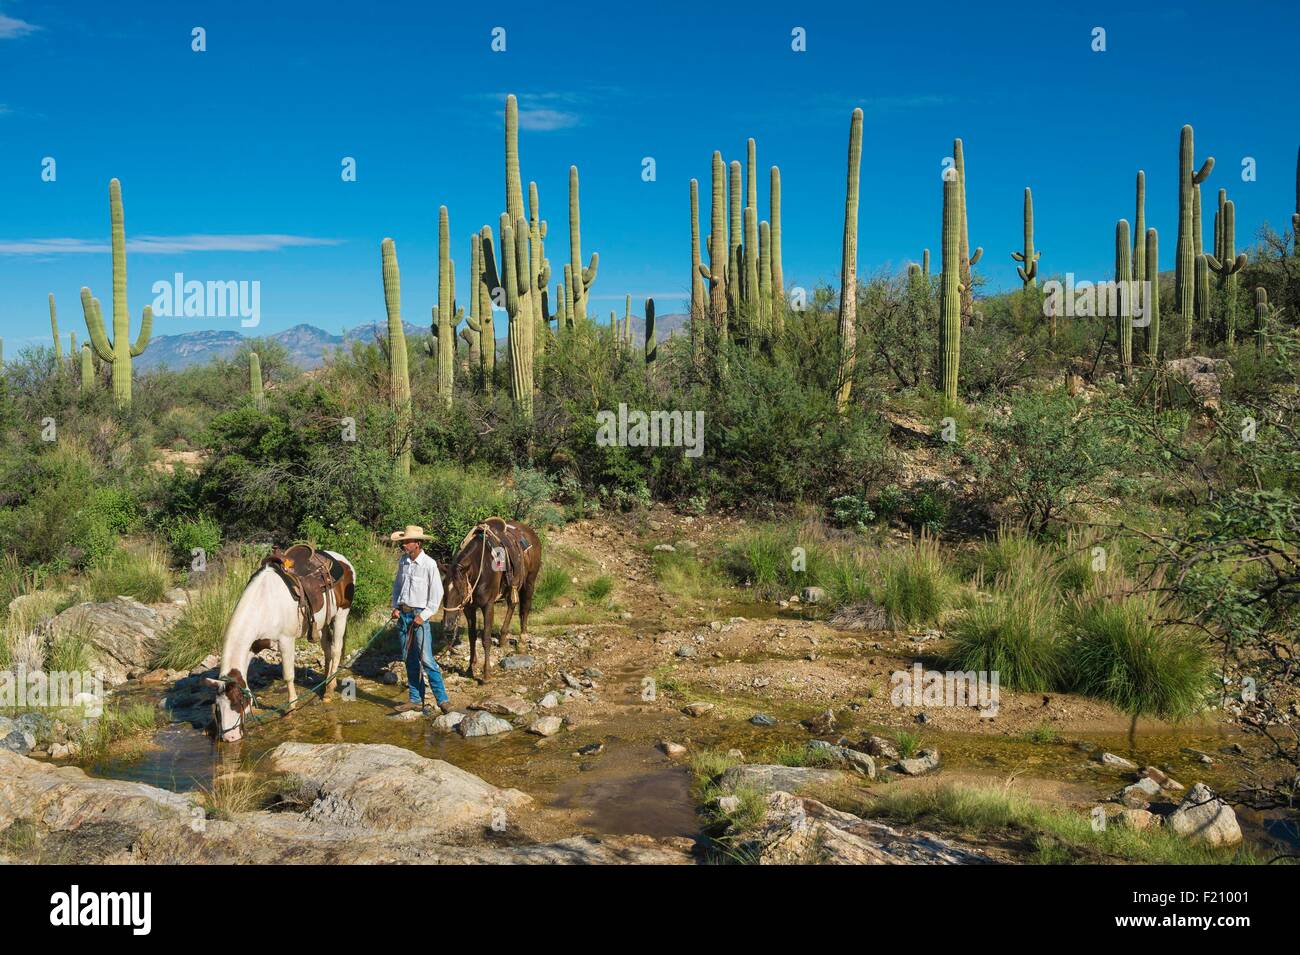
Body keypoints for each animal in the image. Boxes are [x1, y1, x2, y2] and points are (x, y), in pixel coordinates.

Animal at [206, 548, 353, 743]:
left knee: (336, 650)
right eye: (217, 706)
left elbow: (288, 675)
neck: (263, 604)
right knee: (328, 651)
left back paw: (328, 691)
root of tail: (342, 560)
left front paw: (291, 708)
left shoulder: (286, 640)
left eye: (237, 702)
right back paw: (328, 682)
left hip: (341, 615)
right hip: (321, 624)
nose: (230, 737)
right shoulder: (254, 645)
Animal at [436, 519, 538, 686]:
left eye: (460, 591)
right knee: (512, 604)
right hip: (511, 586)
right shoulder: (469, 608)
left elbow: (486, 639)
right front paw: (471, 668)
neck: (480, 567)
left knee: (525, 608)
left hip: (530, 581)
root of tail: (530, 531)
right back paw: (502, 638)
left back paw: (522, 642)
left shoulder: (488, 605)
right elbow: (472, 637)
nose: (448, 625)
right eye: (443, 590)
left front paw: (486, 674)